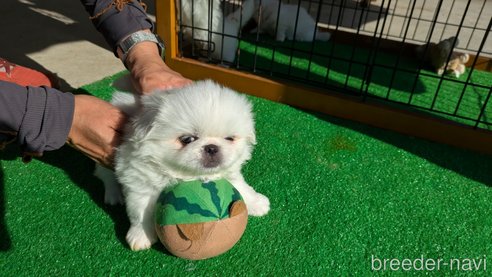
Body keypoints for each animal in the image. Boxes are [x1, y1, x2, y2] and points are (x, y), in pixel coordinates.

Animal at [94, 78, 270, 249]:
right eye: (187, 139)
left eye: (229, 138)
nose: (212, 148)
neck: (186, 174)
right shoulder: (140, 182)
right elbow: (140, 212)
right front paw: (141, 236)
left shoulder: (230, 173)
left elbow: (242, 188)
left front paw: (258, 203)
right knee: (106, 176)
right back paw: (113, 196)